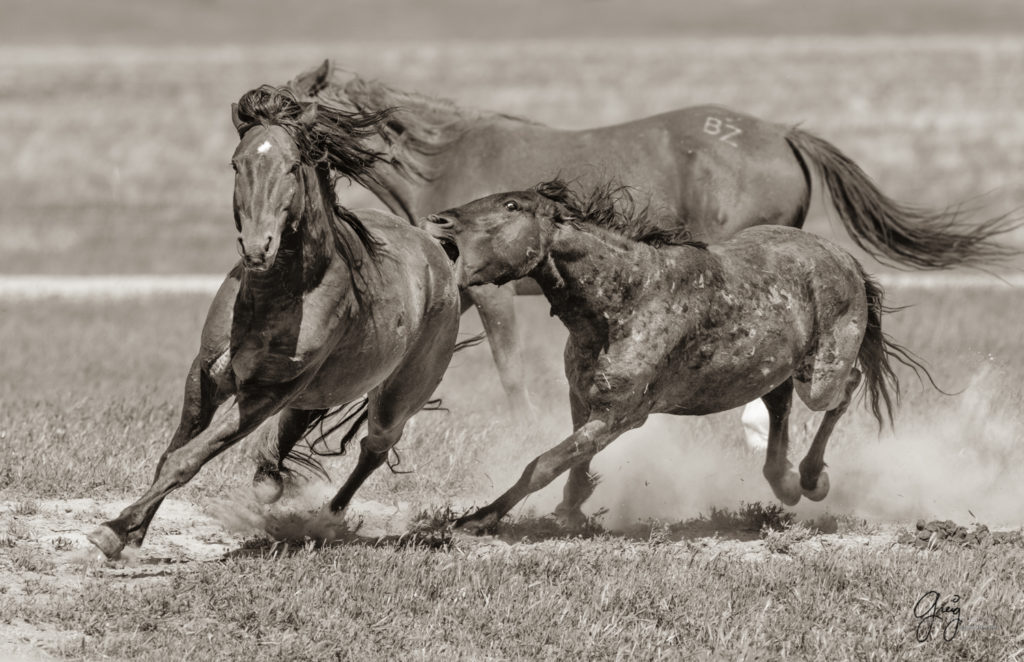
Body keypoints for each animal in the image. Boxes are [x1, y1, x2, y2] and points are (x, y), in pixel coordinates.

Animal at [86, 84, 462, 561]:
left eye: (293, 165)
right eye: (236, 163)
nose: (257, 247)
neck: (277, 295)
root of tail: (435, 252)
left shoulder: (266, 393)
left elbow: (186, 459)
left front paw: (113, 530)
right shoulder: (206, 377)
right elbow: (171, 453)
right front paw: (131, 532)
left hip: (397, 396)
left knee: (373, 449)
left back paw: (326, 518)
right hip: (315, 393)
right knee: (294, 436)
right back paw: (271, 483)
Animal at [286, 62, 1015, 426]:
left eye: (289, 103)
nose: (255, 108)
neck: (441, 160)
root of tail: (783, 132)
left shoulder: (491, 295)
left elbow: (511, 374)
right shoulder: (460, 288)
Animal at [423, 181, 937, 532]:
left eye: (511, 206)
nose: (437, 221)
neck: (624, 299)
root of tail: (845, 259)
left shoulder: (620, 416)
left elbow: (544, 464)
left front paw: (478, 519)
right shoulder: (582, 401)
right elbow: (572, 461)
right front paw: (571, 509)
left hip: (821, 375)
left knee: (843, 389)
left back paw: (811, 479)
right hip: (773, 368)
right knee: (779, 401)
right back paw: (785, 481)